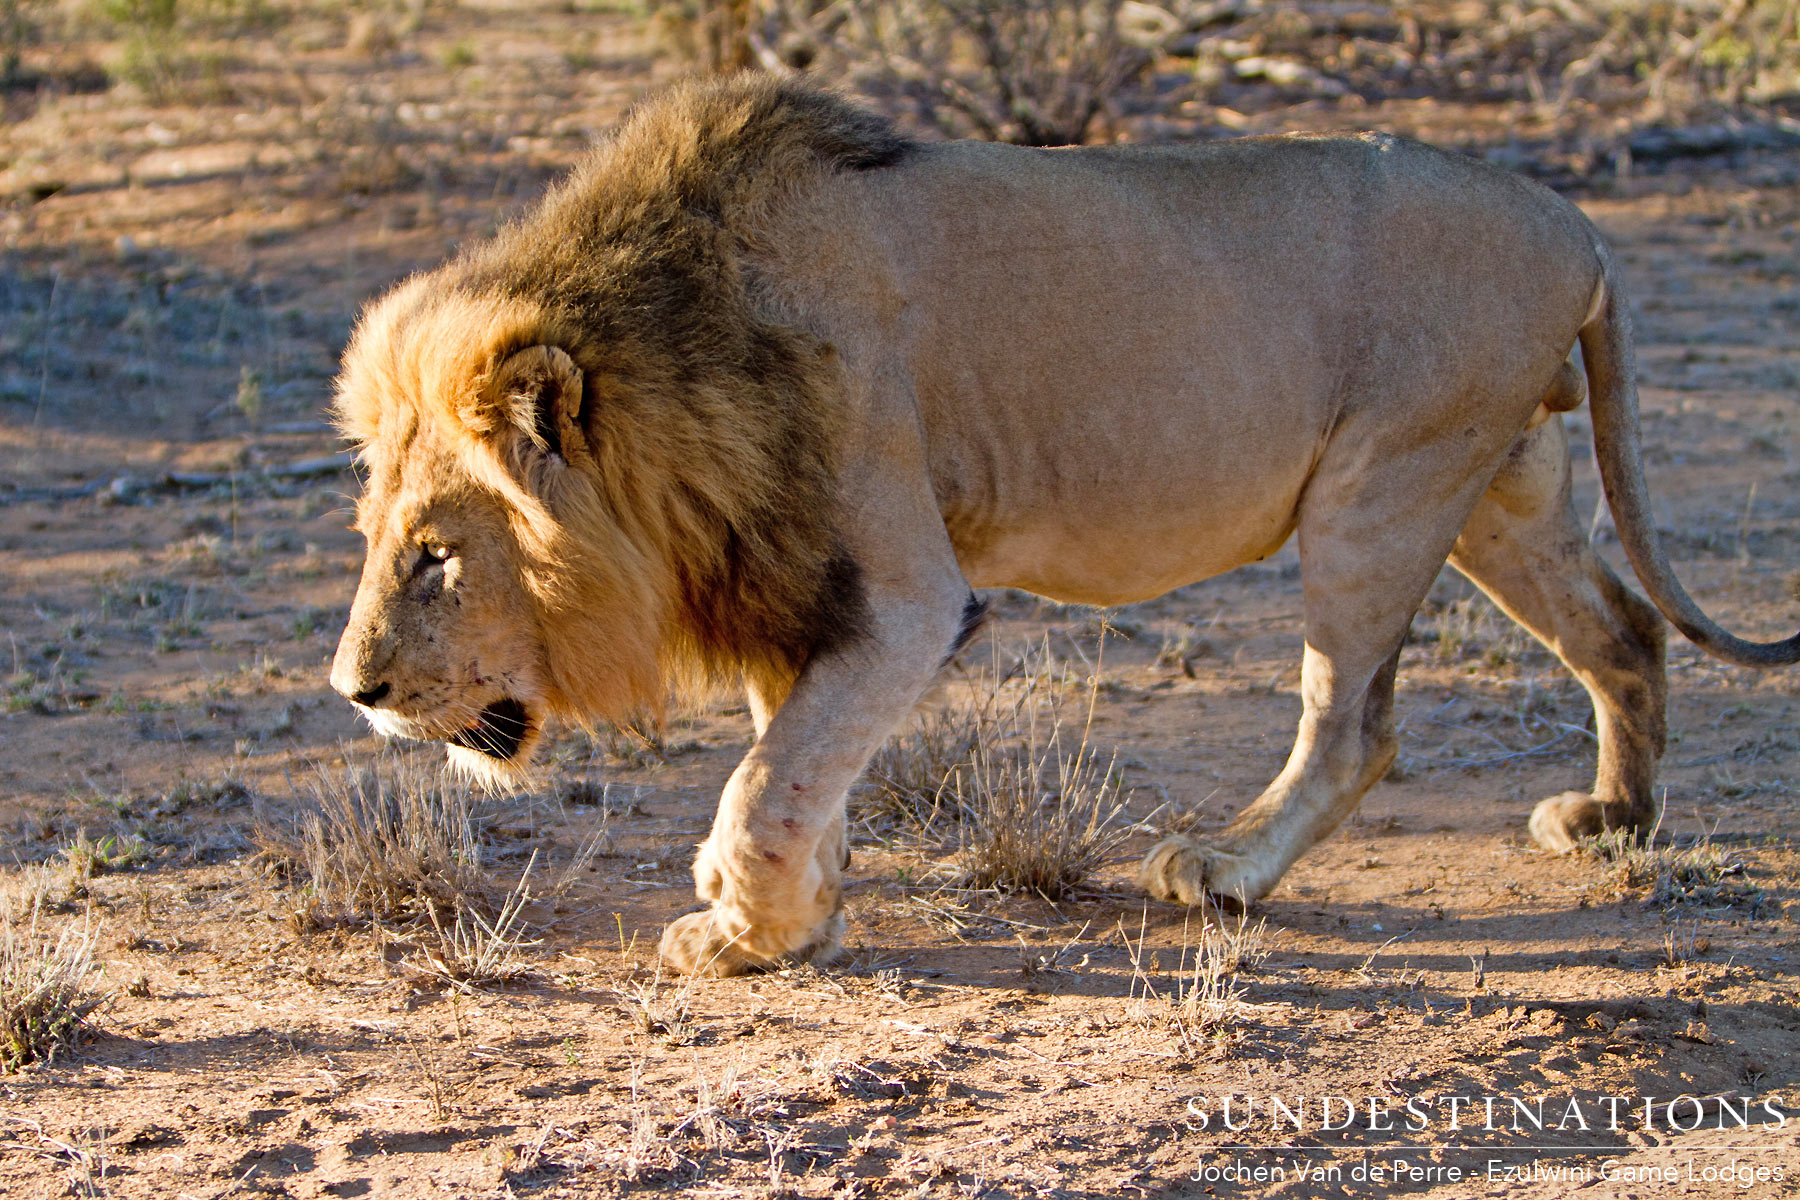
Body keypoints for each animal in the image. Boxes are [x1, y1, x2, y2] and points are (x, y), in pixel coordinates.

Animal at [329, 76, 1799, 976]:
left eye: (438, 556)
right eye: (380, 540)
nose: (355, 691)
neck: (683, 345)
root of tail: (1580, 227)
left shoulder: (902, 590)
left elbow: (764, 780)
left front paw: (737, 934)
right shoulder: (790, 578)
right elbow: (793, 758)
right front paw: (799, 919)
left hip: (1385, 483)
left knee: (1356, 722)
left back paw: (1225, 869)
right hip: (1504, 481)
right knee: (1622, 632)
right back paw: (1615, 819)